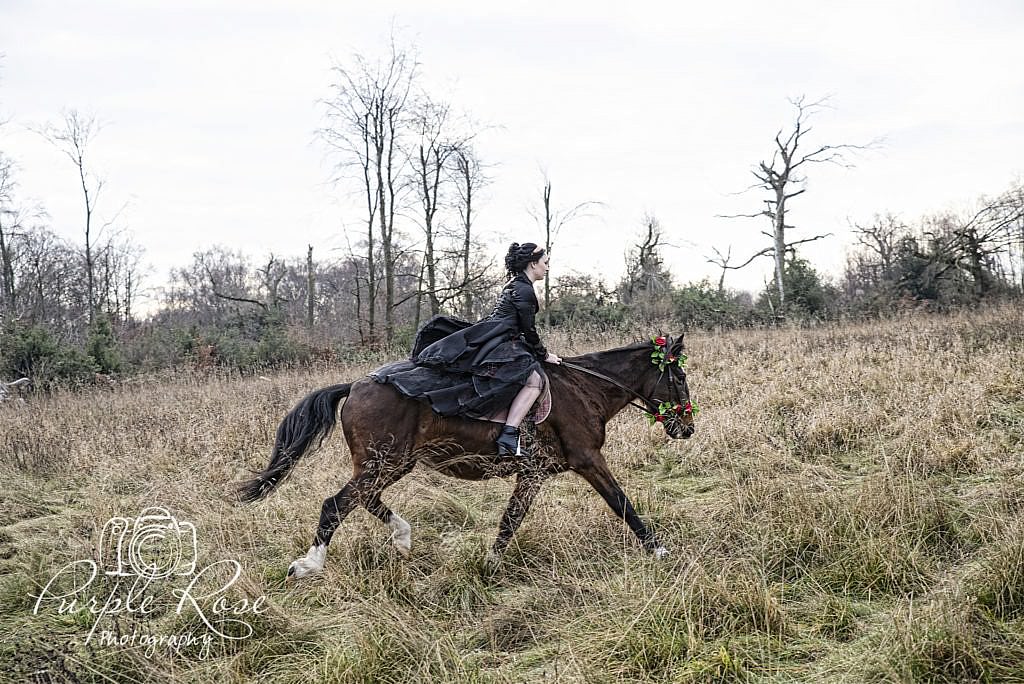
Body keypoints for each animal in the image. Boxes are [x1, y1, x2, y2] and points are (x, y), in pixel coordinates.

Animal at [235, 333, 692, 581]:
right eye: (680, 376)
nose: (687, 428)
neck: (584, 389)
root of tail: (356, 385)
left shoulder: (533, 474)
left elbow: (510, 521)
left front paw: (488, 564)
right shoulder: (587, 460)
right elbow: (622, 504)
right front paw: (660, 551)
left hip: (391, 464)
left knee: (362, 500)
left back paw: (402, 538)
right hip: (383, 463)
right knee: (336, 504)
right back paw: (308, 565)